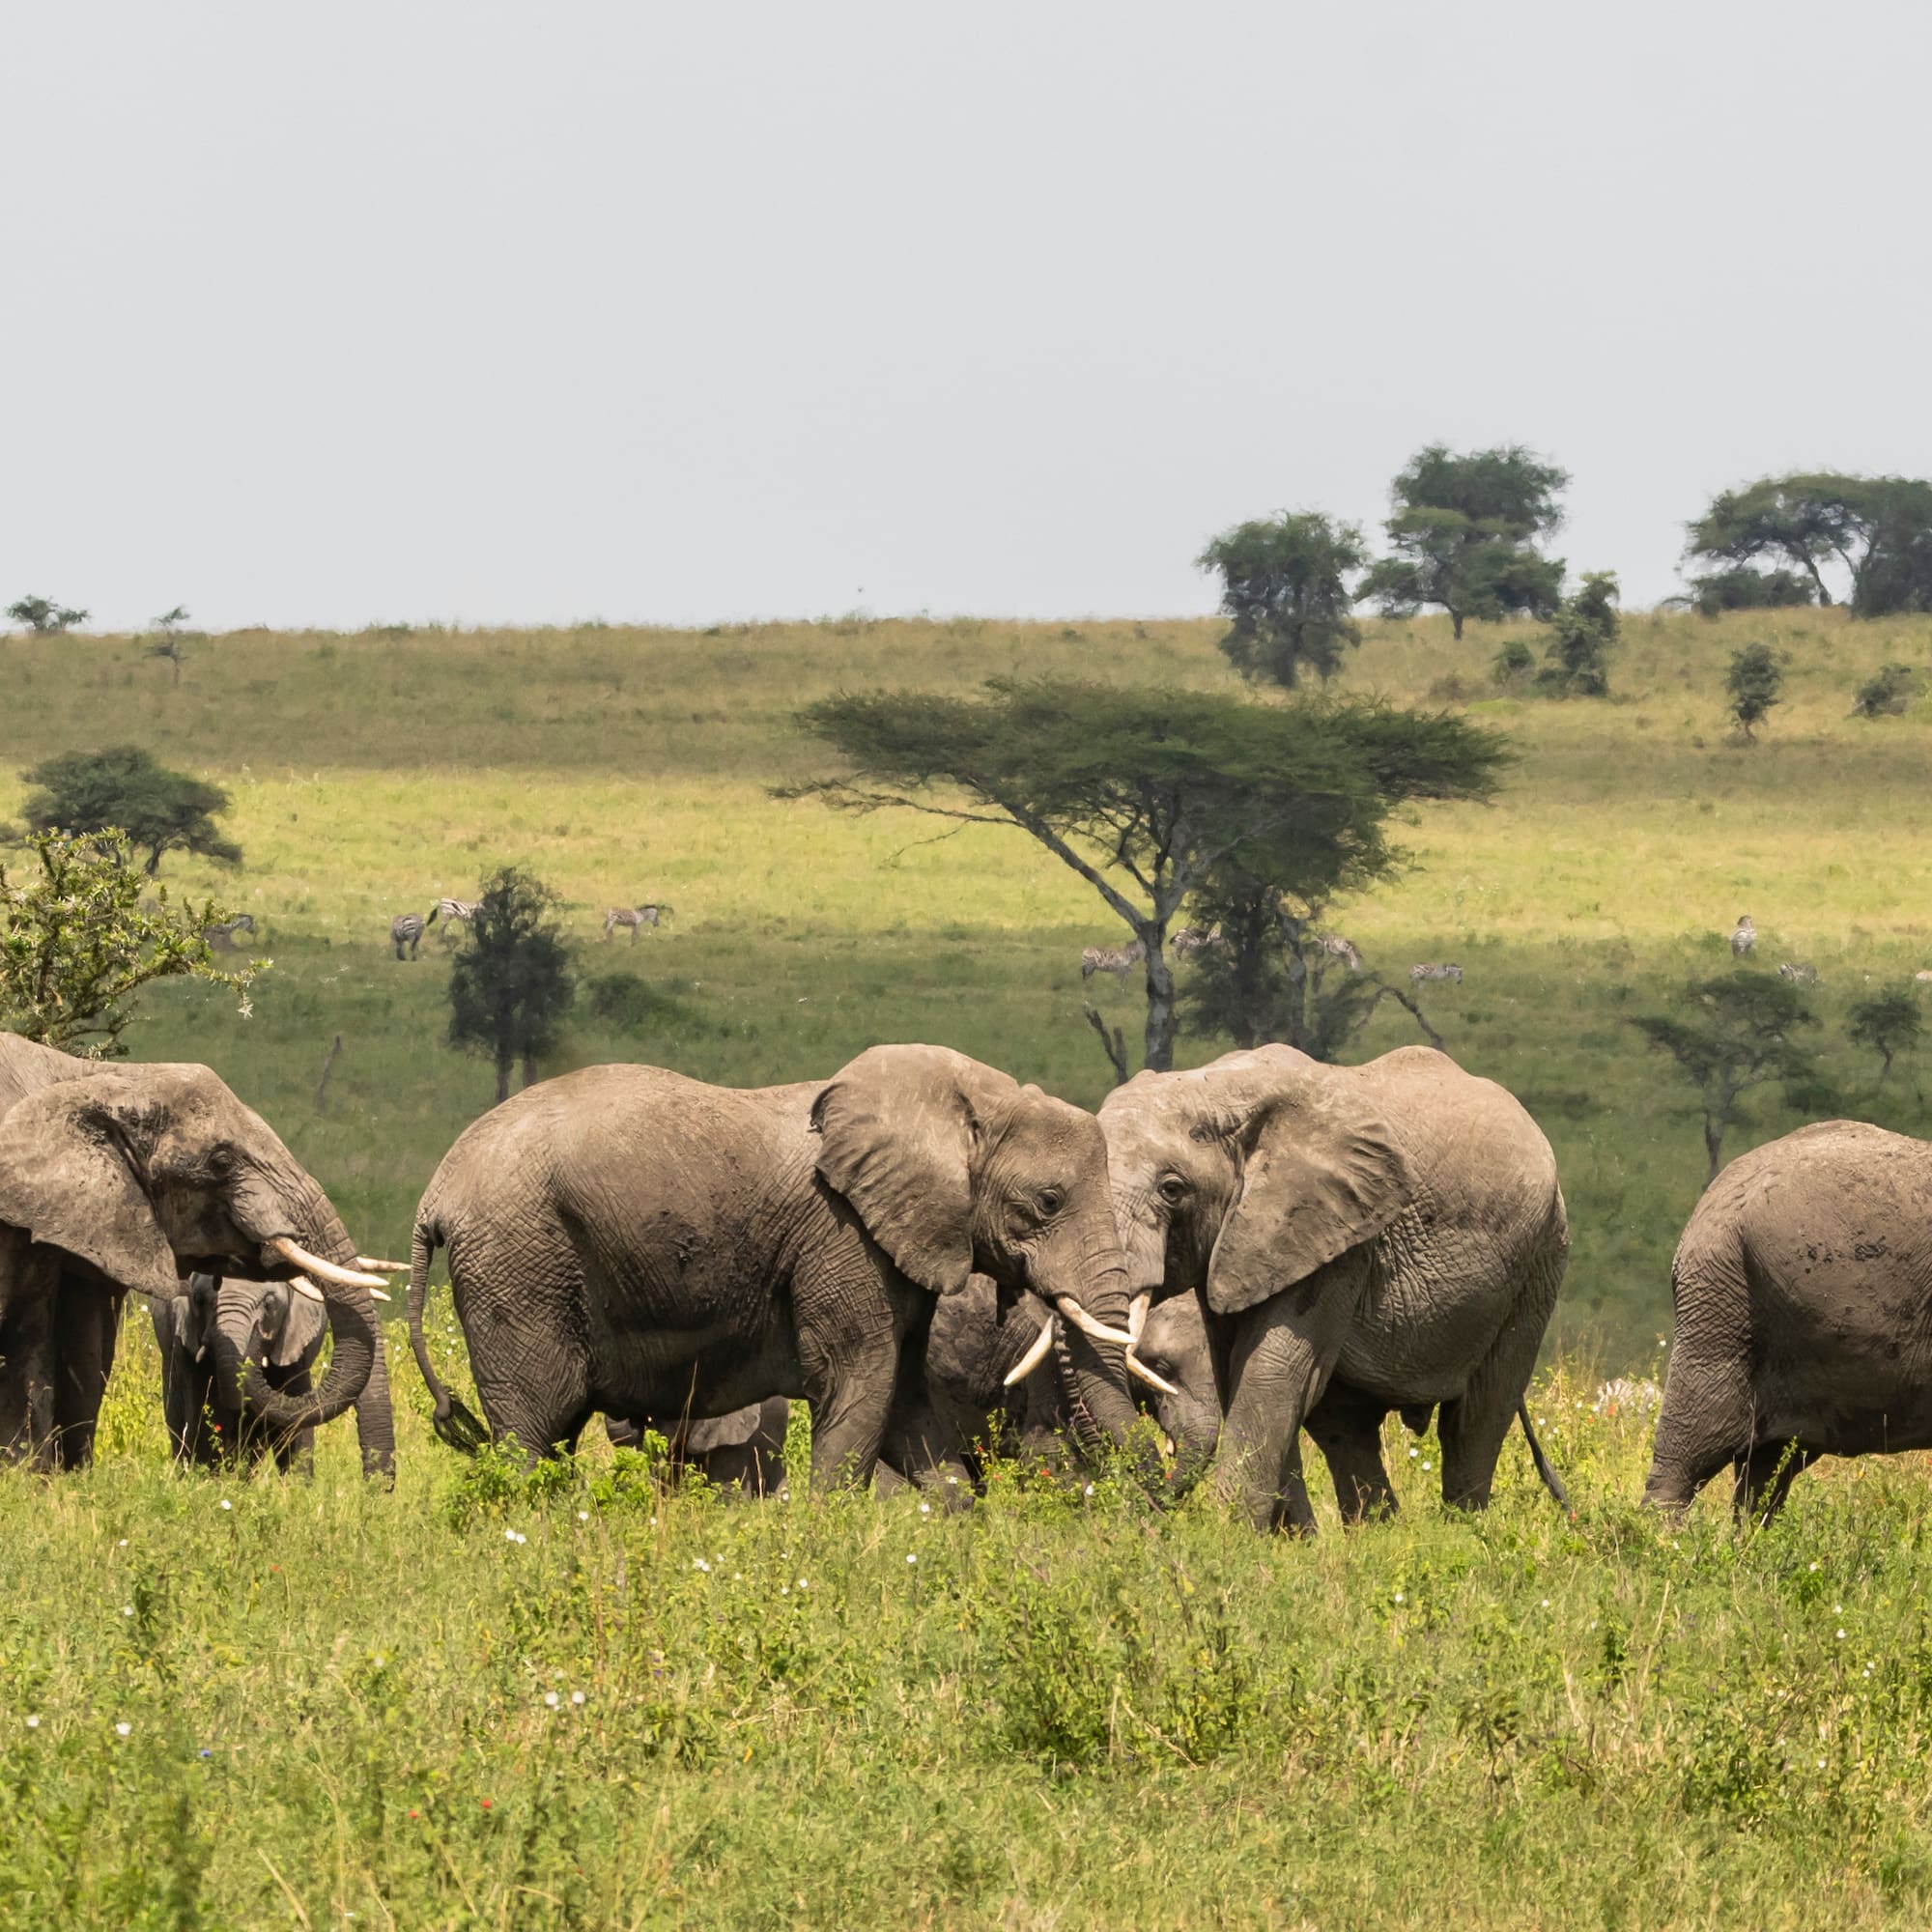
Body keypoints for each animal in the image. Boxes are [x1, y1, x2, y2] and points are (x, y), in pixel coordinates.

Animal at [153, 1271, 396, 1479]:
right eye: (200, 1300)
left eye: (269, 1305)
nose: (258, 1330)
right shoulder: (187, 1348)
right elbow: (204, 1417)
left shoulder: (294, 1344)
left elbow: (294, 1425)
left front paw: (297, 1490)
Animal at [407, 1043, 1146, 1490]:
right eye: (1047, 1202)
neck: (968, 1099)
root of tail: (434, 1193)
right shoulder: (843, 1237)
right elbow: (858, 1385)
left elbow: (906, 1402)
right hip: (517, 1264)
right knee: (533, 1430)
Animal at [1099, 1044, 1571, 1531]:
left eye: (1172, 1189)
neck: (1215, 1088)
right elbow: (1241, 1372)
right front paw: (1285, 1539)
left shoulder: (1338, 1238)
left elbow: (1270, 1371)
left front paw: (1231, 1536)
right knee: (1347, 1425)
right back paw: (1378, 1532)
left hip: (1540, 1260)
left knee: (1476, 1416)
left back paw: (1462, 1530)